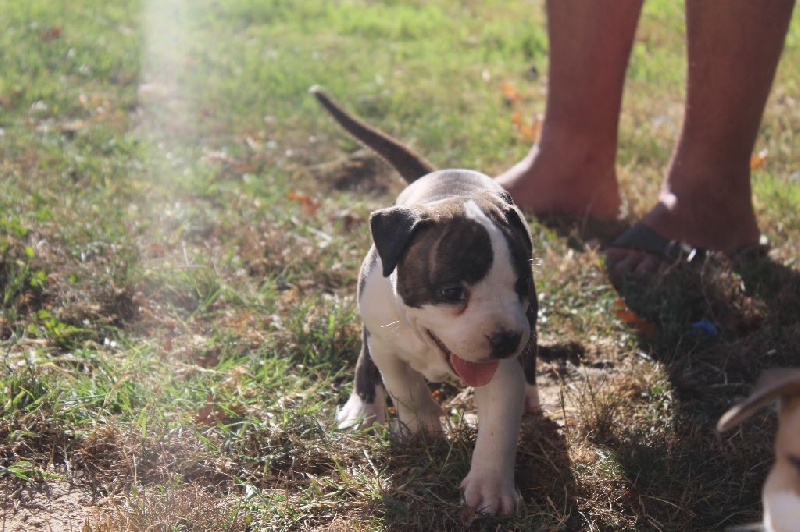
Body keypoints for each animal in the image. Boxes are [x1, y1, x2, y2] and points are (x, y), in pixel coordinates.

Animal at [311, 86, 539, 517]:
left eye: (521, 285)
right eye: (452, 293)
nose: (505, 339)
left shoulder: (504, 366)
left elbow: (499, 428)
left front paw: (489, 489)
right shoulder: (386, 341)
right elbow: (404, 385)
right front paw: (421, 428)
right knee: (366, 359)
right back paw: (362, 408)